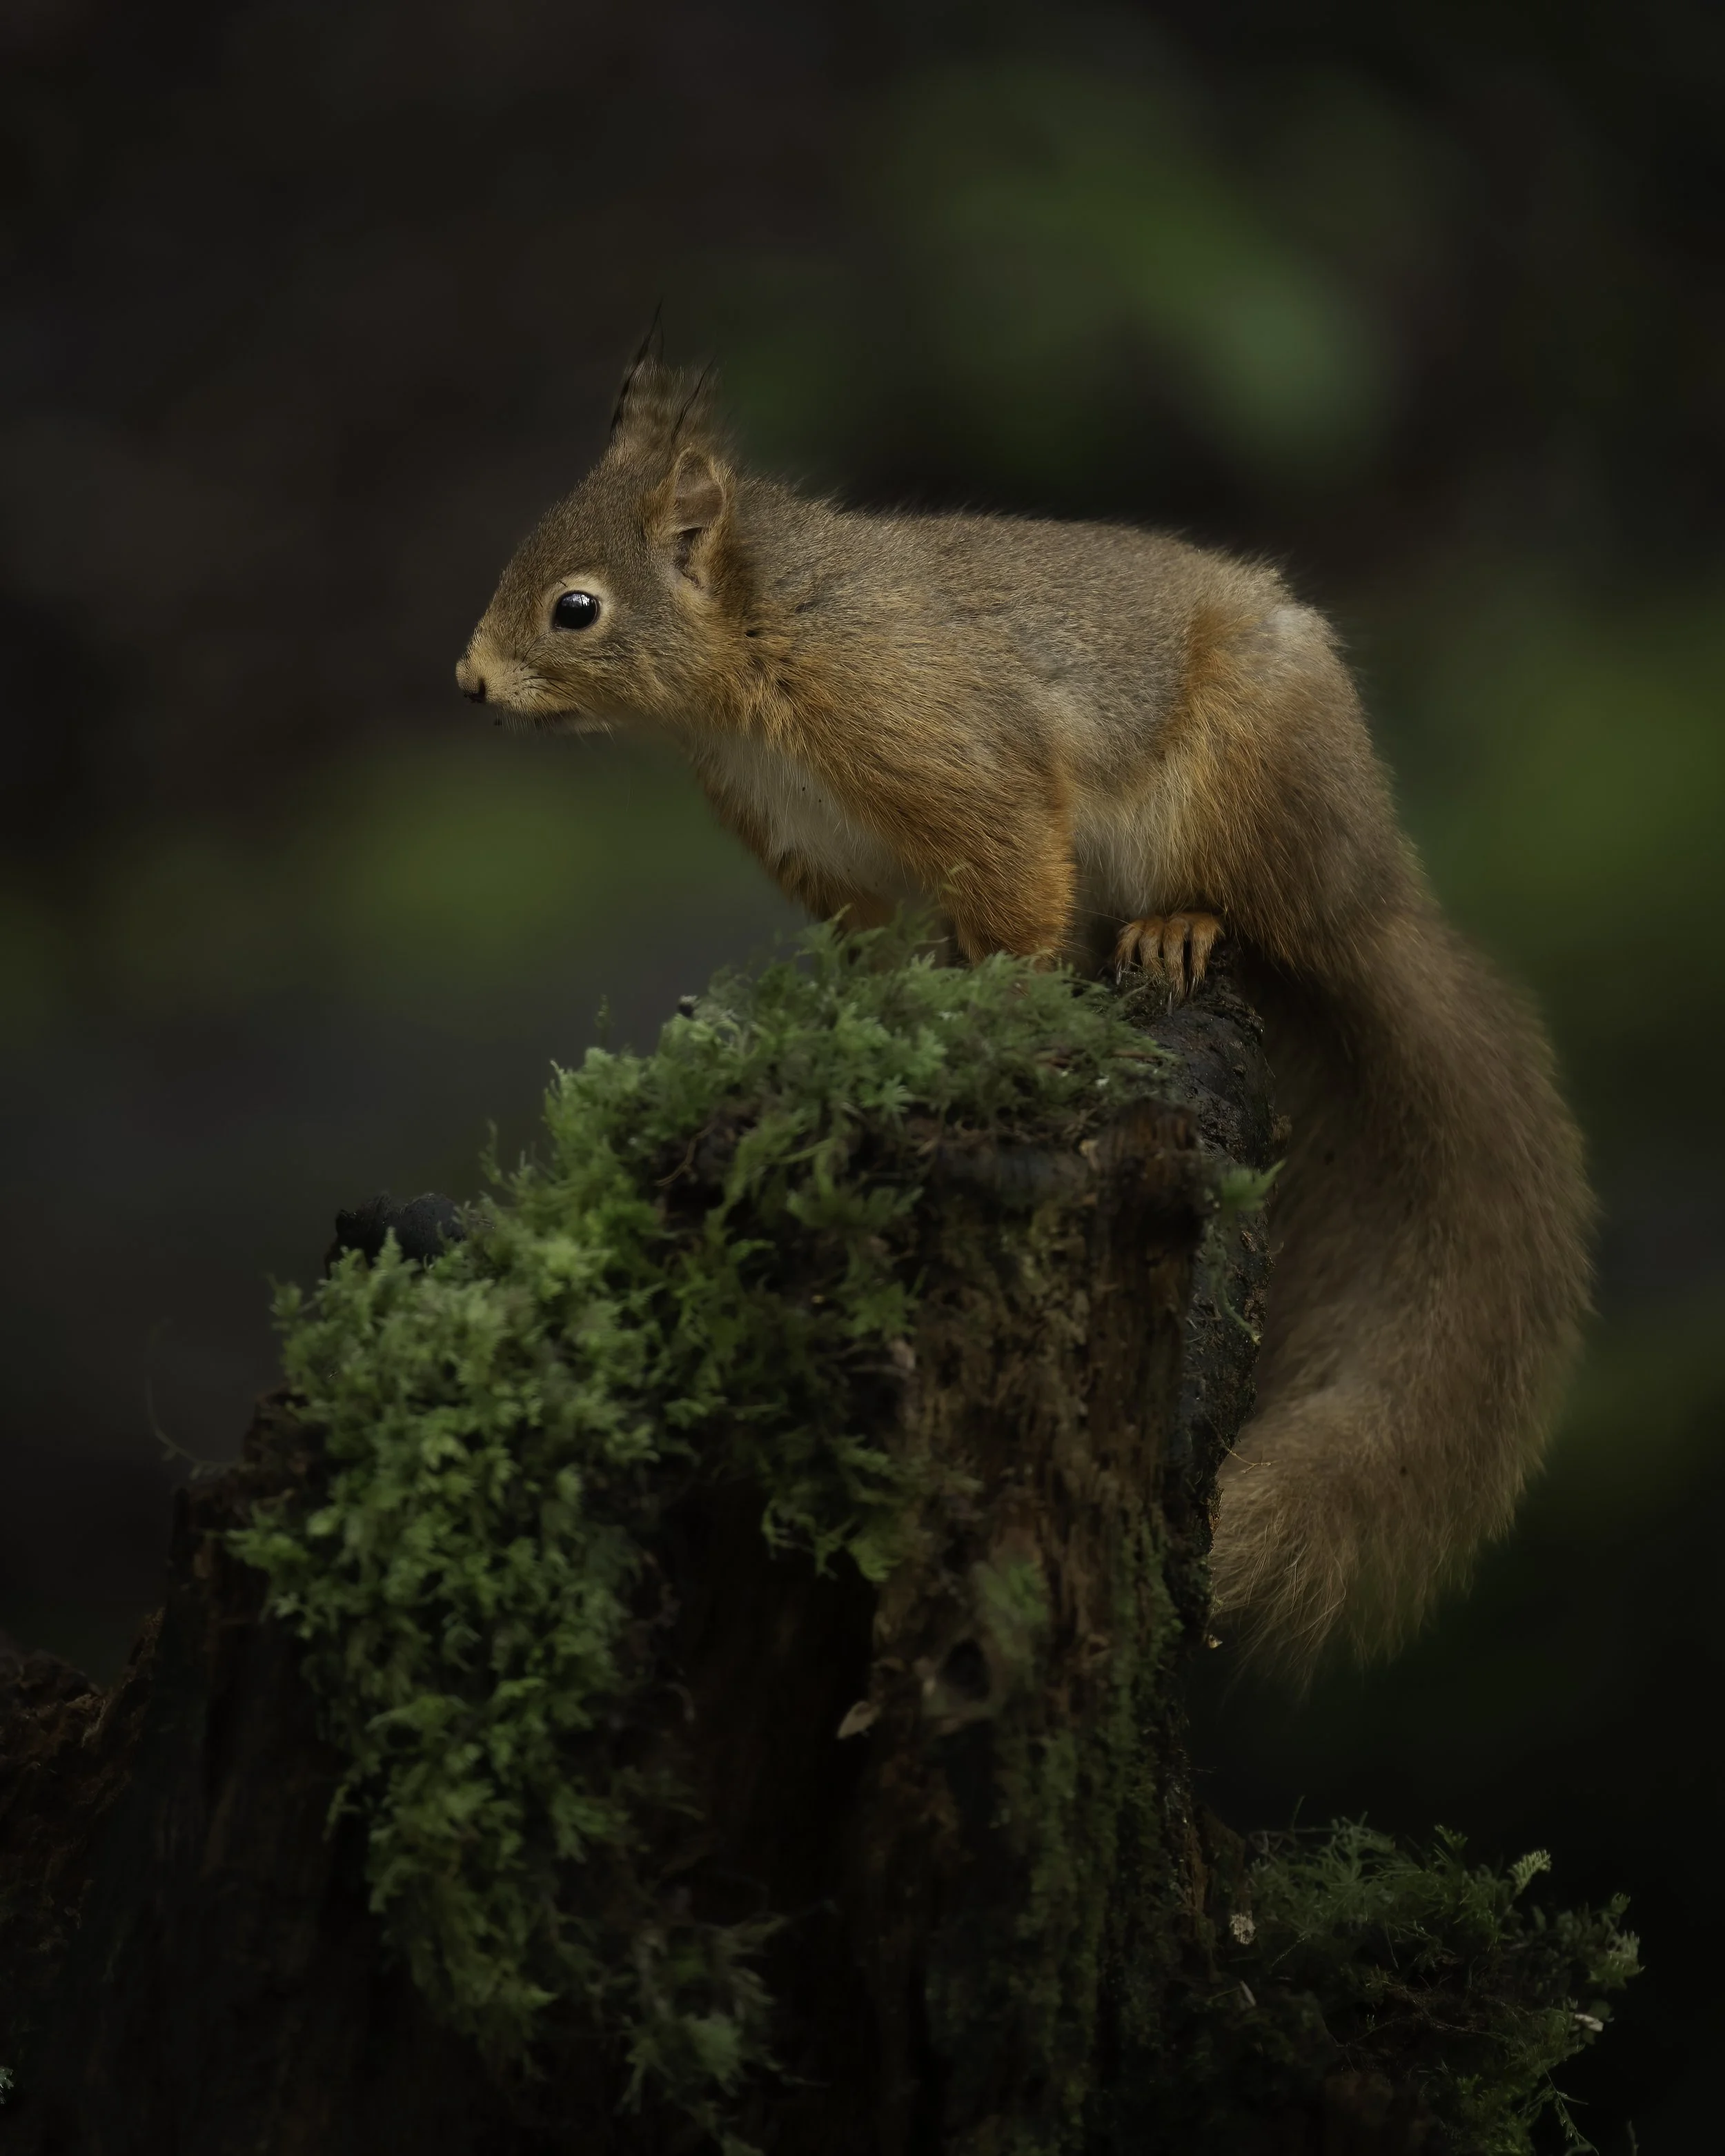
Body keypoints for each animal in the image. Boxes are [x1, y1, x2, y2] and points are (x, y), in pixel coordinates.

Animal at [455, 352, 1592, 1681]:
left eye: (575, 610)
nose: (469, 680)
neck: (758, 653)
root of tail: (1369, 888)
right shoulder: (830, 861)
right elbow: (888, 954)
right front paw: (871, 1011)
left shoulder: (935, 734)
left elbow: (1012, 870)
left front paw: (997, 1006)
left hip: (1243, 788)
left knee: (1249, 917)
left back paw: (1179, 929)